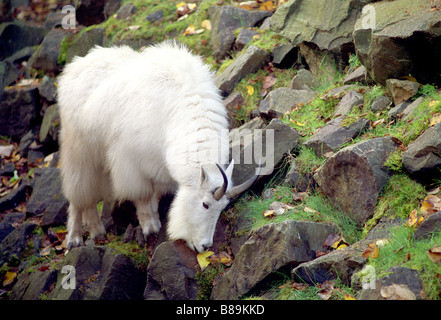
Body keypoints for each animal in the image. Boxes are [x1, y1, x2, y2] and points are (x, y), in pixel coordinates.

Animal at [57, 42, 258, 252]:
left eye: (222, 208)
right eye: (205, 204)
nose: (205, 246)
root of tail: (74, 67)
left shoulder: (160, 167)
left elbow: (156, 194)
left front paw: (155, 218)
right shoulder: (130, 162)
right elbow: (143, 195)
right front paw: (150, 226)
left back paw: (97, 231)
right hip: (78, 151)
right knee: (78, 195)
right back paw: (74, 238)